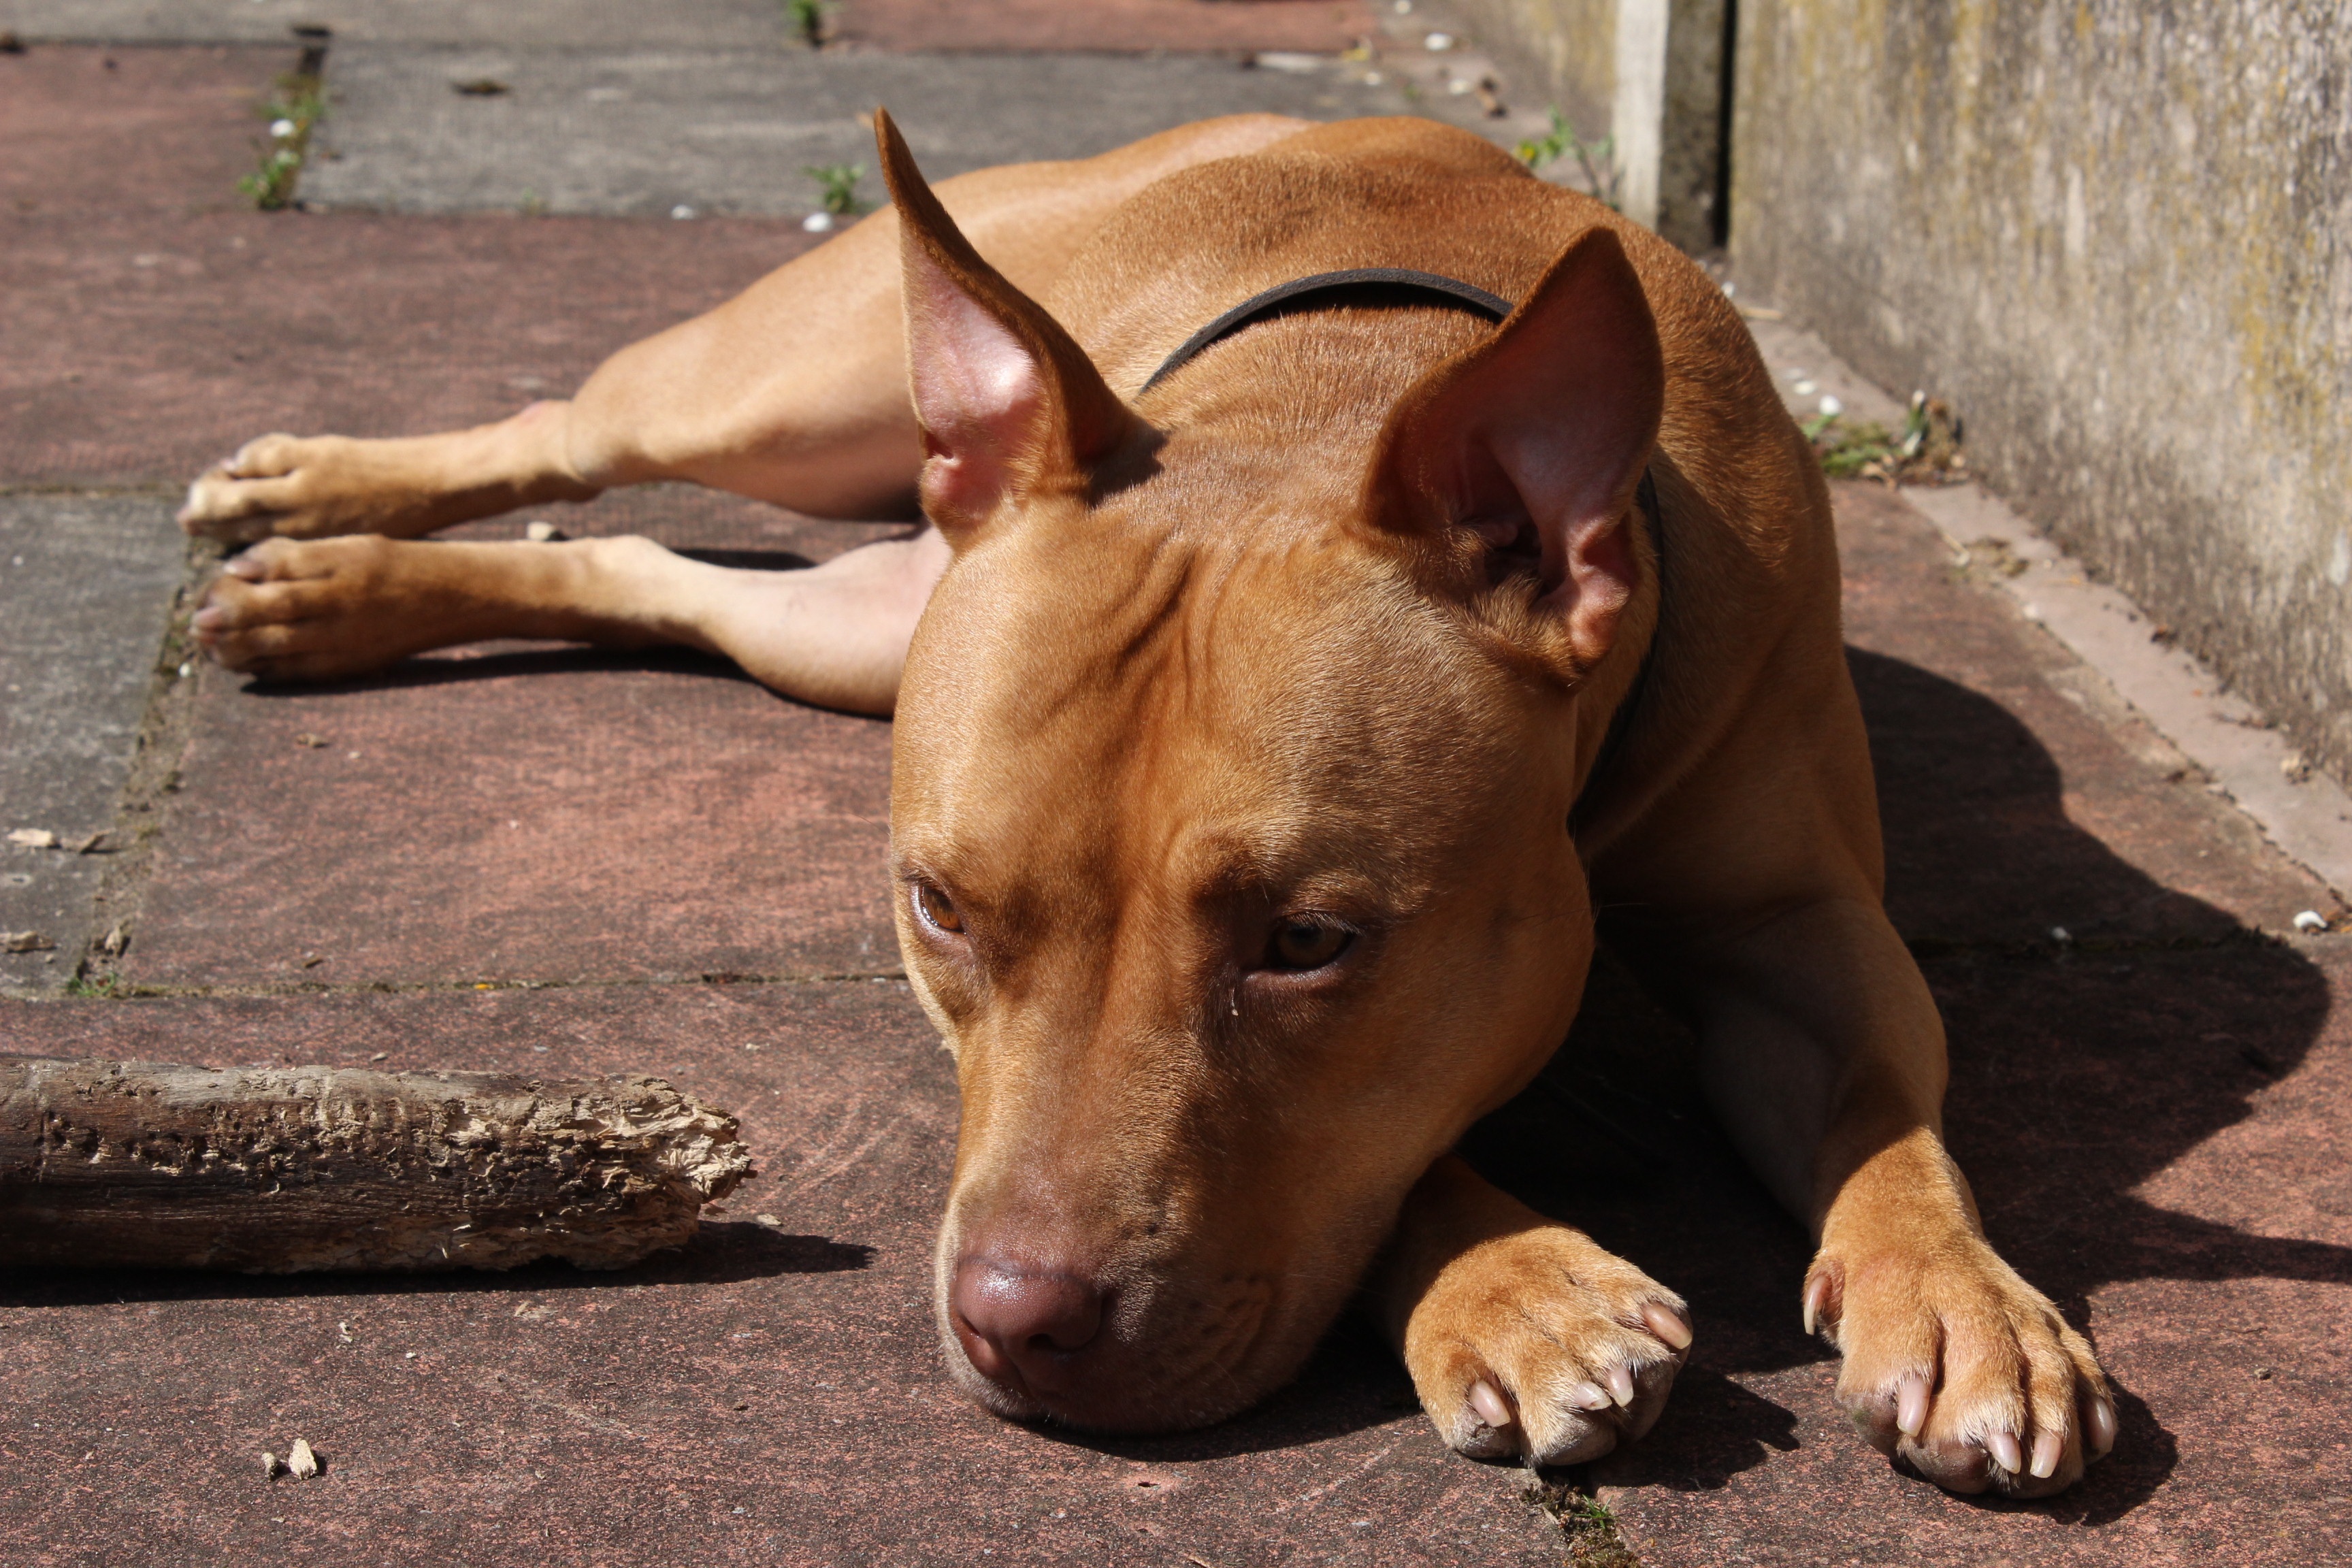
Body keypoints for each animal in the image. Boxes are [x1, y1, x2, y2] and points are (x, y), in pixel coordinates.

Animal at [170, 113, 2117, 1494]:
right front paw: (1509, 1277)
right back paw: (316, 508)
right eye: (938, 910)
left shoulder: (1805, 934)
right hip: (770, 394)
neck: (1331, 382)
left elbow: (1882, 1111)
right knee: (568, 433)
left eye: (1309, 942)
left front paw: (1957, 1295)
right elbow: (1394, 1150)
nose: (1013, 1330)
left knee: (652, 572)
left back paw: (337, 594)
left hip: (853, 627)